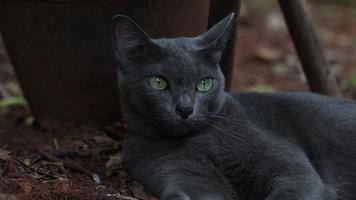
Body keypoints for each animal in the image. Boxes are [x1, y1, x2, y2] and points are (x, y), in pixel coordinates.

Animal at [112, 13, 356, 199]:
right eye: (158, 82)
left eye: (204, 84)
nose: (185, 109)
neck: (199, 140)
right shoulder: (179, 171)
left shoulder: (293, 171)